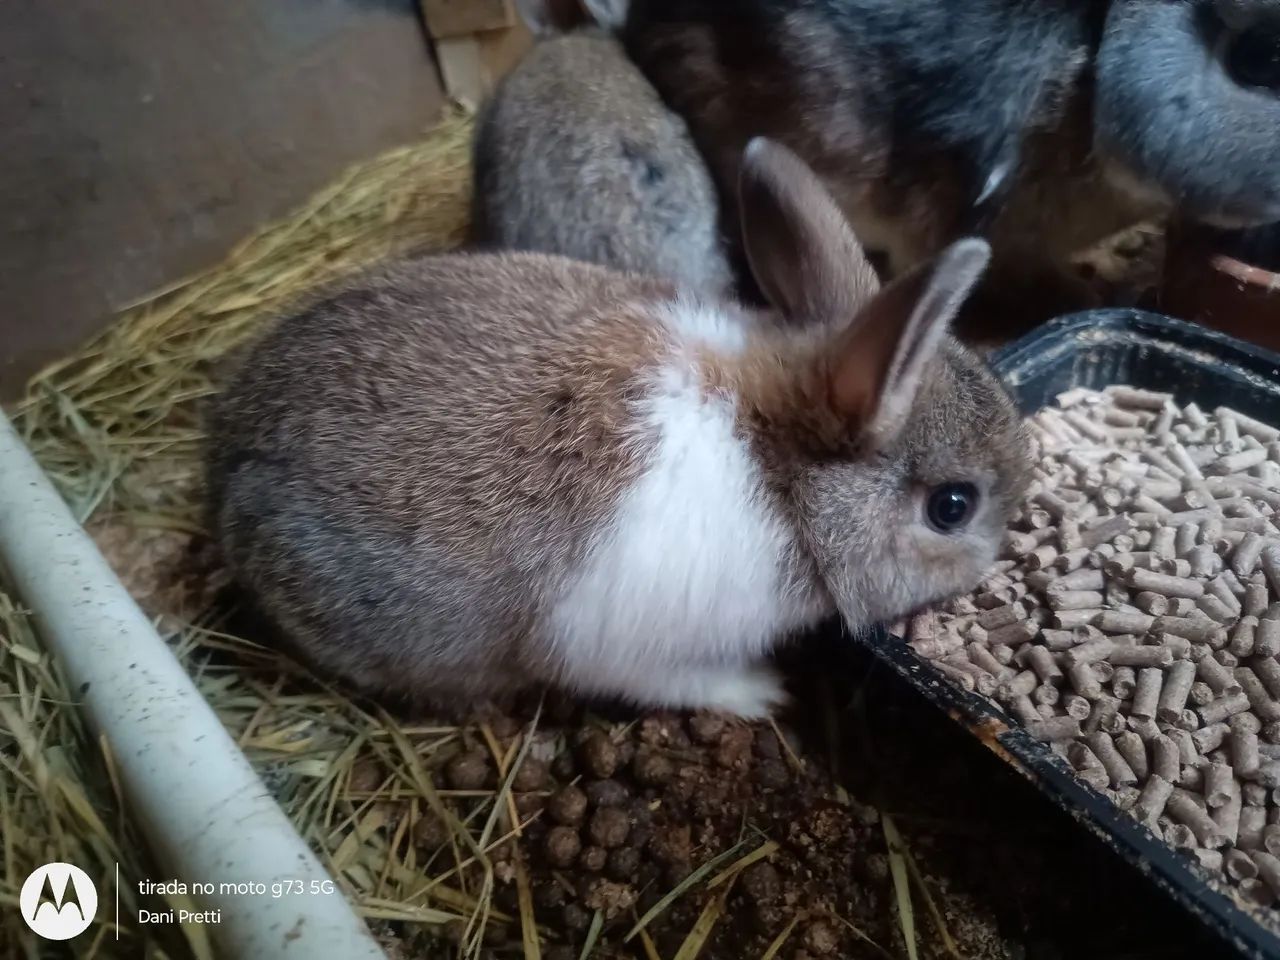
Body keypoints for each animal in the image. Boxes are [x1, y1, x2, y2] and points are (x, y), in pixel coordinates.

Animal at [206, 138, 1032, 718]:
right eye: (953, 508)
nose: (994, 560)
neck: (782, 472)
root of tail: (221, 462)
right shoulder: (634, 645)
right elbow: (670, 682)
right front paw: (762, 694)